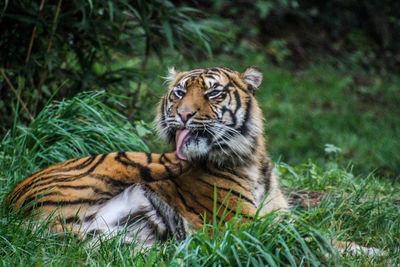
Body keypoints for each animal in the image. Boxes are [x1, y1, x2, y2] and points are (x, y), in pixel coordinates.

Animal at [4, 67, 290, 247]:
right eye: (179, 93)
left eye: (212, 93)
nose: (184, 114)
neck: (251, 161)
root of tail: (11, 210)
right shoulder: (242, 224)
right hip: (127, 158)